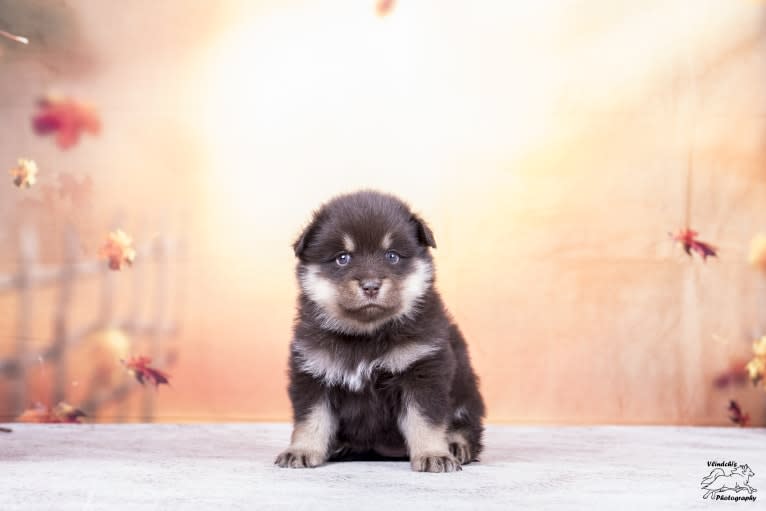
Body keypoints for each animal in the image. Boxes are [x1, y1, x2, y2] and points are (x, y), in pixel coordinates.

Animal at [276, 192, 486, 476]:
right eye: (343, 258)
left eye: (392, 256)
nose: (371, 286)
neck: (366, 334)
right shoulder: (313, 373)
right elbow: (311, 419)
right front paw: (301, 450)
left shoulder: (422, 370)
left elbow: (425, 420)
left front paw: (433, 454)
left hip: (467, 392)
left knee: (468, 428)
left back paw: (455, 445)